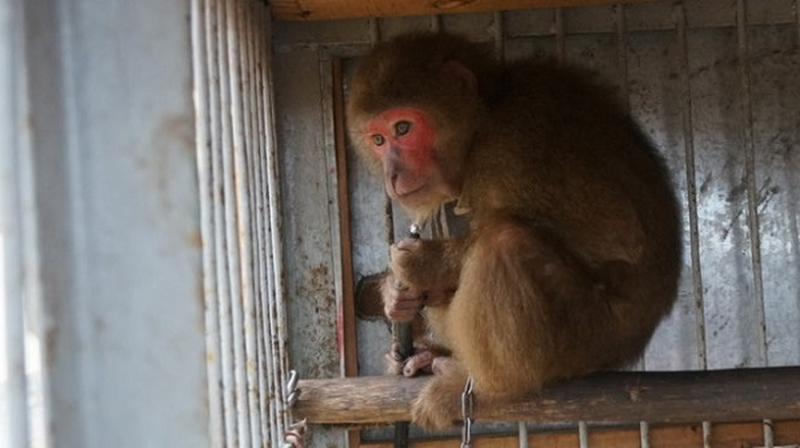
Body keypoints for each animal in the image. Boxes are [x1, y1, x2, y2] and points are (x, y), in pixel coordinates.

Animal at [346, 32, 680, 430]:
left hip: (592, 335)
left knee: (504, 241)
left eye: (403, 128)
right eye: (378, 140)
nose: (392, 175)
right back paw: (430, 356)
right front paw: (393, 298)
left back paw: (492, 388)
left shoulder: (514, 144)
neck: (486, 117)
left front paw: (426, 263)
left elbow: (616, 235)